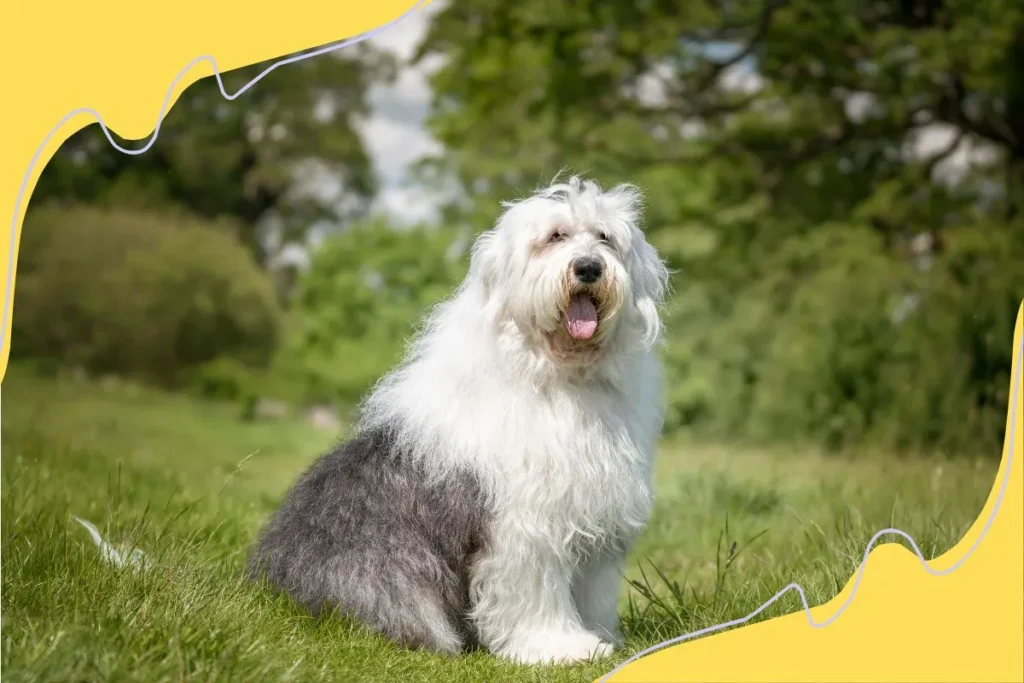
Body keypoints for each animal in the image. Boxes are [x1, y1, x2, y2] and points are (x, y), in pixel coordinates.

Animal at [243, 174, 667, 663]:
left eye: (604, 238)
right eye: (554, 237)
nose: (589, 268)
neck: (558, 376)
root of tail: (268, 578)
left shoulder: (594, 513)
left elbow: (593, 589)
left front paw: (600, 636)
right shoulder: (525, 523)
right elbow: (536, 590)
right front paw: (559, 646)